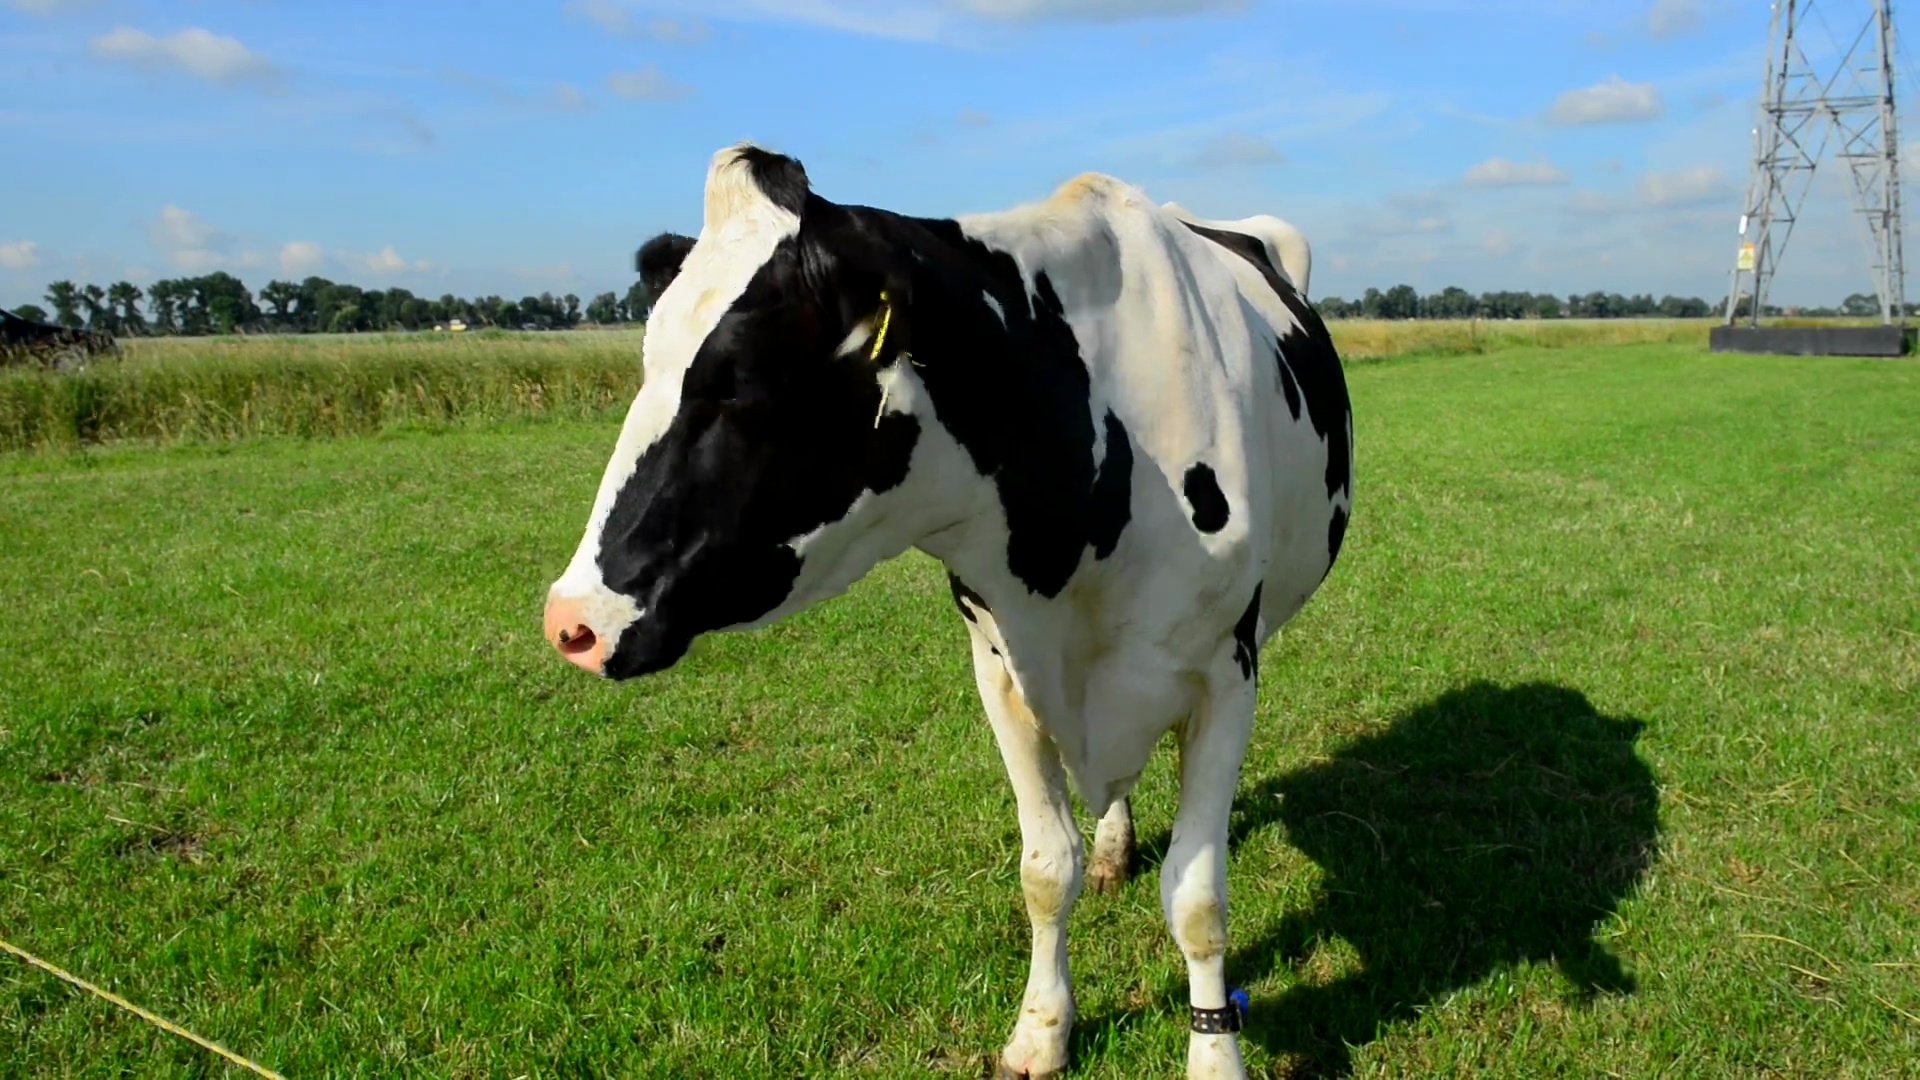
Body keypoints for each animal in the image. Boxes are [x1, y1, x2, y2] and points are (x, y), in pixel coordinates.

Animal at [541, 143, 1351, 1076]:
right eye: (644, 364)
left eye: (735, 381)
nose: (570, 622)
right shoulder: (1001, 668)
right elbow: (1045, 866)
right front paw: (1041, 1029)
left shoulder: (1226, 672)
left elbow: (1196, 895)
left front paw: (1214, 1058)